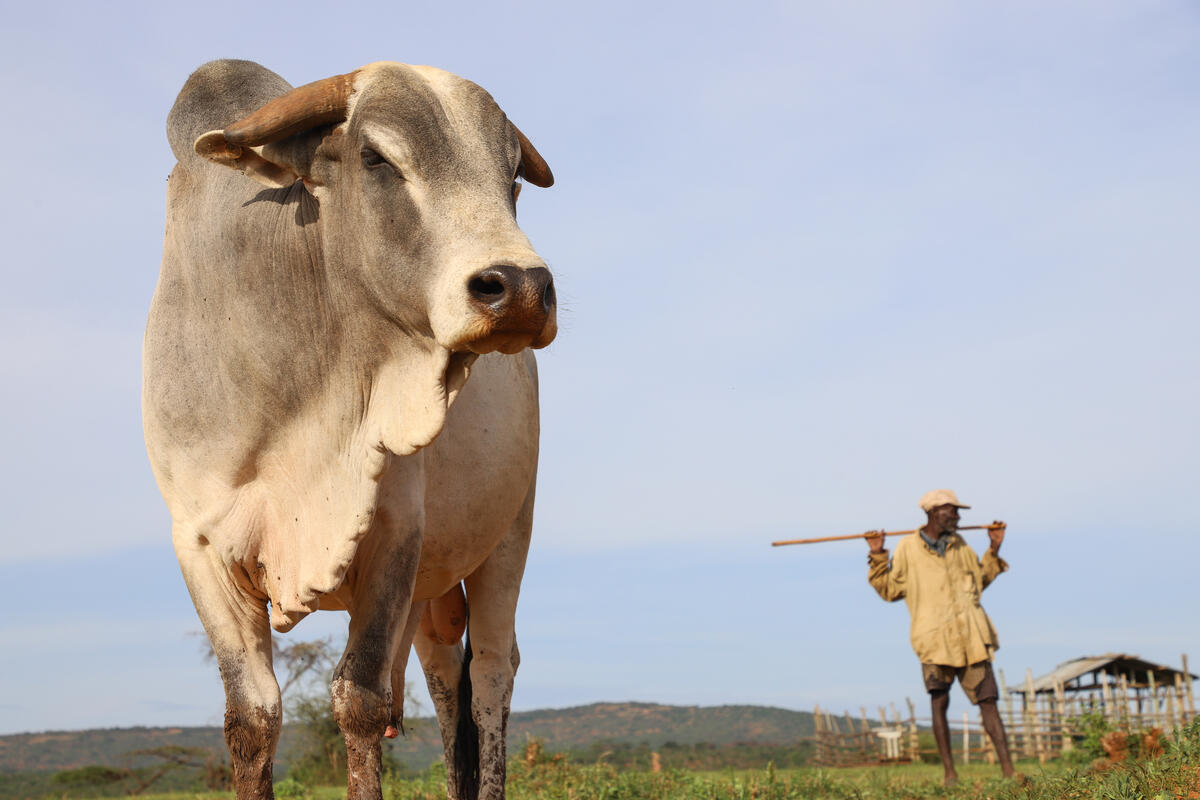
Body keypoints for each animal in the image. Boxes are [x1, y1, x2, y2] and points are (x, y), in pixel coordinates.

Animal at [144, 61, 561, 800]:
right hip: (433, 588)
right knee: (442, 675)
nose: (521, 288)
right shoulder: (199, 543)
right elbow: (252, 716)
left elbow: (359, 700)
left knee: (490, 674)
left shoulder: (395, 530)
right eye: (375, 157)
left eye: (511, 173)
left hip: (509, 534)